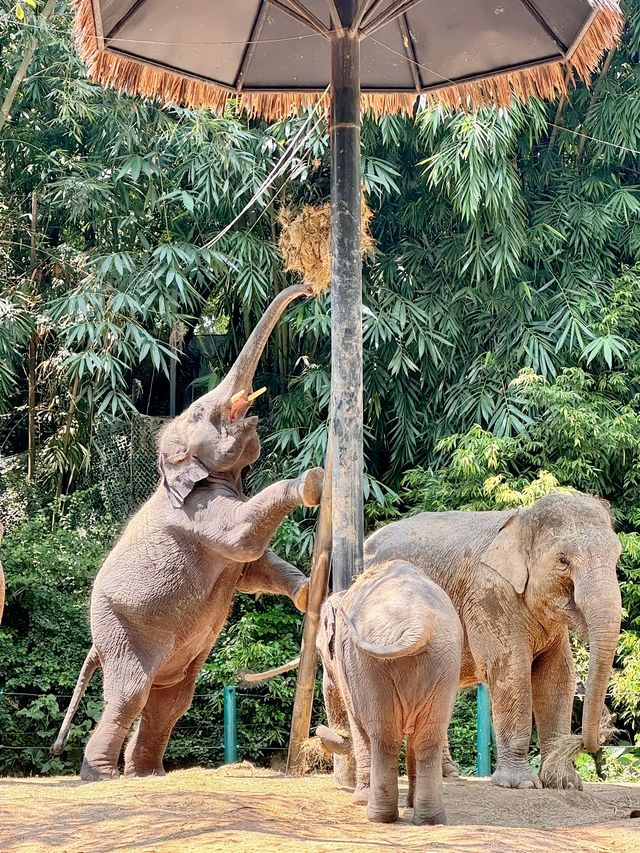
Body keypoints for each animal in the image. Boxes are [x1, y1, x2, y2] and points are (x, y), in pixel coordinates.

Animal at [51, 282, 320, 784]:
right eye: (198, 410)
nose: (309, 288)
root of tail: (95, 643)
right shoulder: (197, 515)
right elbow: (243, 541)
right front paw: (313, 481)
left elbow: (255, 567)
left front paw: (310, 593)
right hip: (121, 628)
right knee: (131, 694)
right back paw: (103, 777)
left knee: (171, 699)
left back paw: (148, 774)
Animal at [316, 560, 462, 824]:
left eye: (321, 652)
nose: (317, 729)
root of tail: (419, 624)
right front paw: (411, 805)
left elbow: (359, 725)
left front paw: (359, 800)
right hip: (445, 662)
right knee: (429, 736)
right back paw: (430, 819)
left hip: (369, 666)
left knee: (383, 735)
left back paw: (377, 815)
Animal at [362, 492, 624, 792]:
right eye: (562, 560)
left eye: (617, 555)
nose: (586, 742)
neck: (520, 520)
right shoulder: (488, 596)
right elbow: (511, 673)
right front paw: (521, 785)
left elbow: (556, 677)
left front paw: (564, 784)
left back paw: (446, 774)